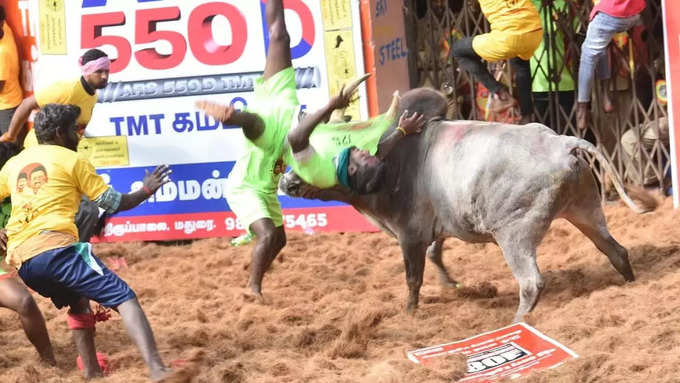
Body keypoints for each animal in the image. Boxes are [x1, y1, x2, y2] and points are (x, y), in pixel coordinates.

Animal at [278, 88, 652, 324]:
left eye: (328, 157)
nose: (285, 183)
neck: (394, 164)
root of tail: (560, 143)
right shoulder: (440, 226)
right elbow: (435, 254)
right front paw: (453, 286)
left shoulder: (410, 235)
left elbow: (413, 278)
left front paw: (410, 313)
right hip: (586, 211)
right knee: (616, 251)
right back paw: (629, 284)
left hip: (515, 235)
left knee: (531, 282)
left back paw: (517, 321)